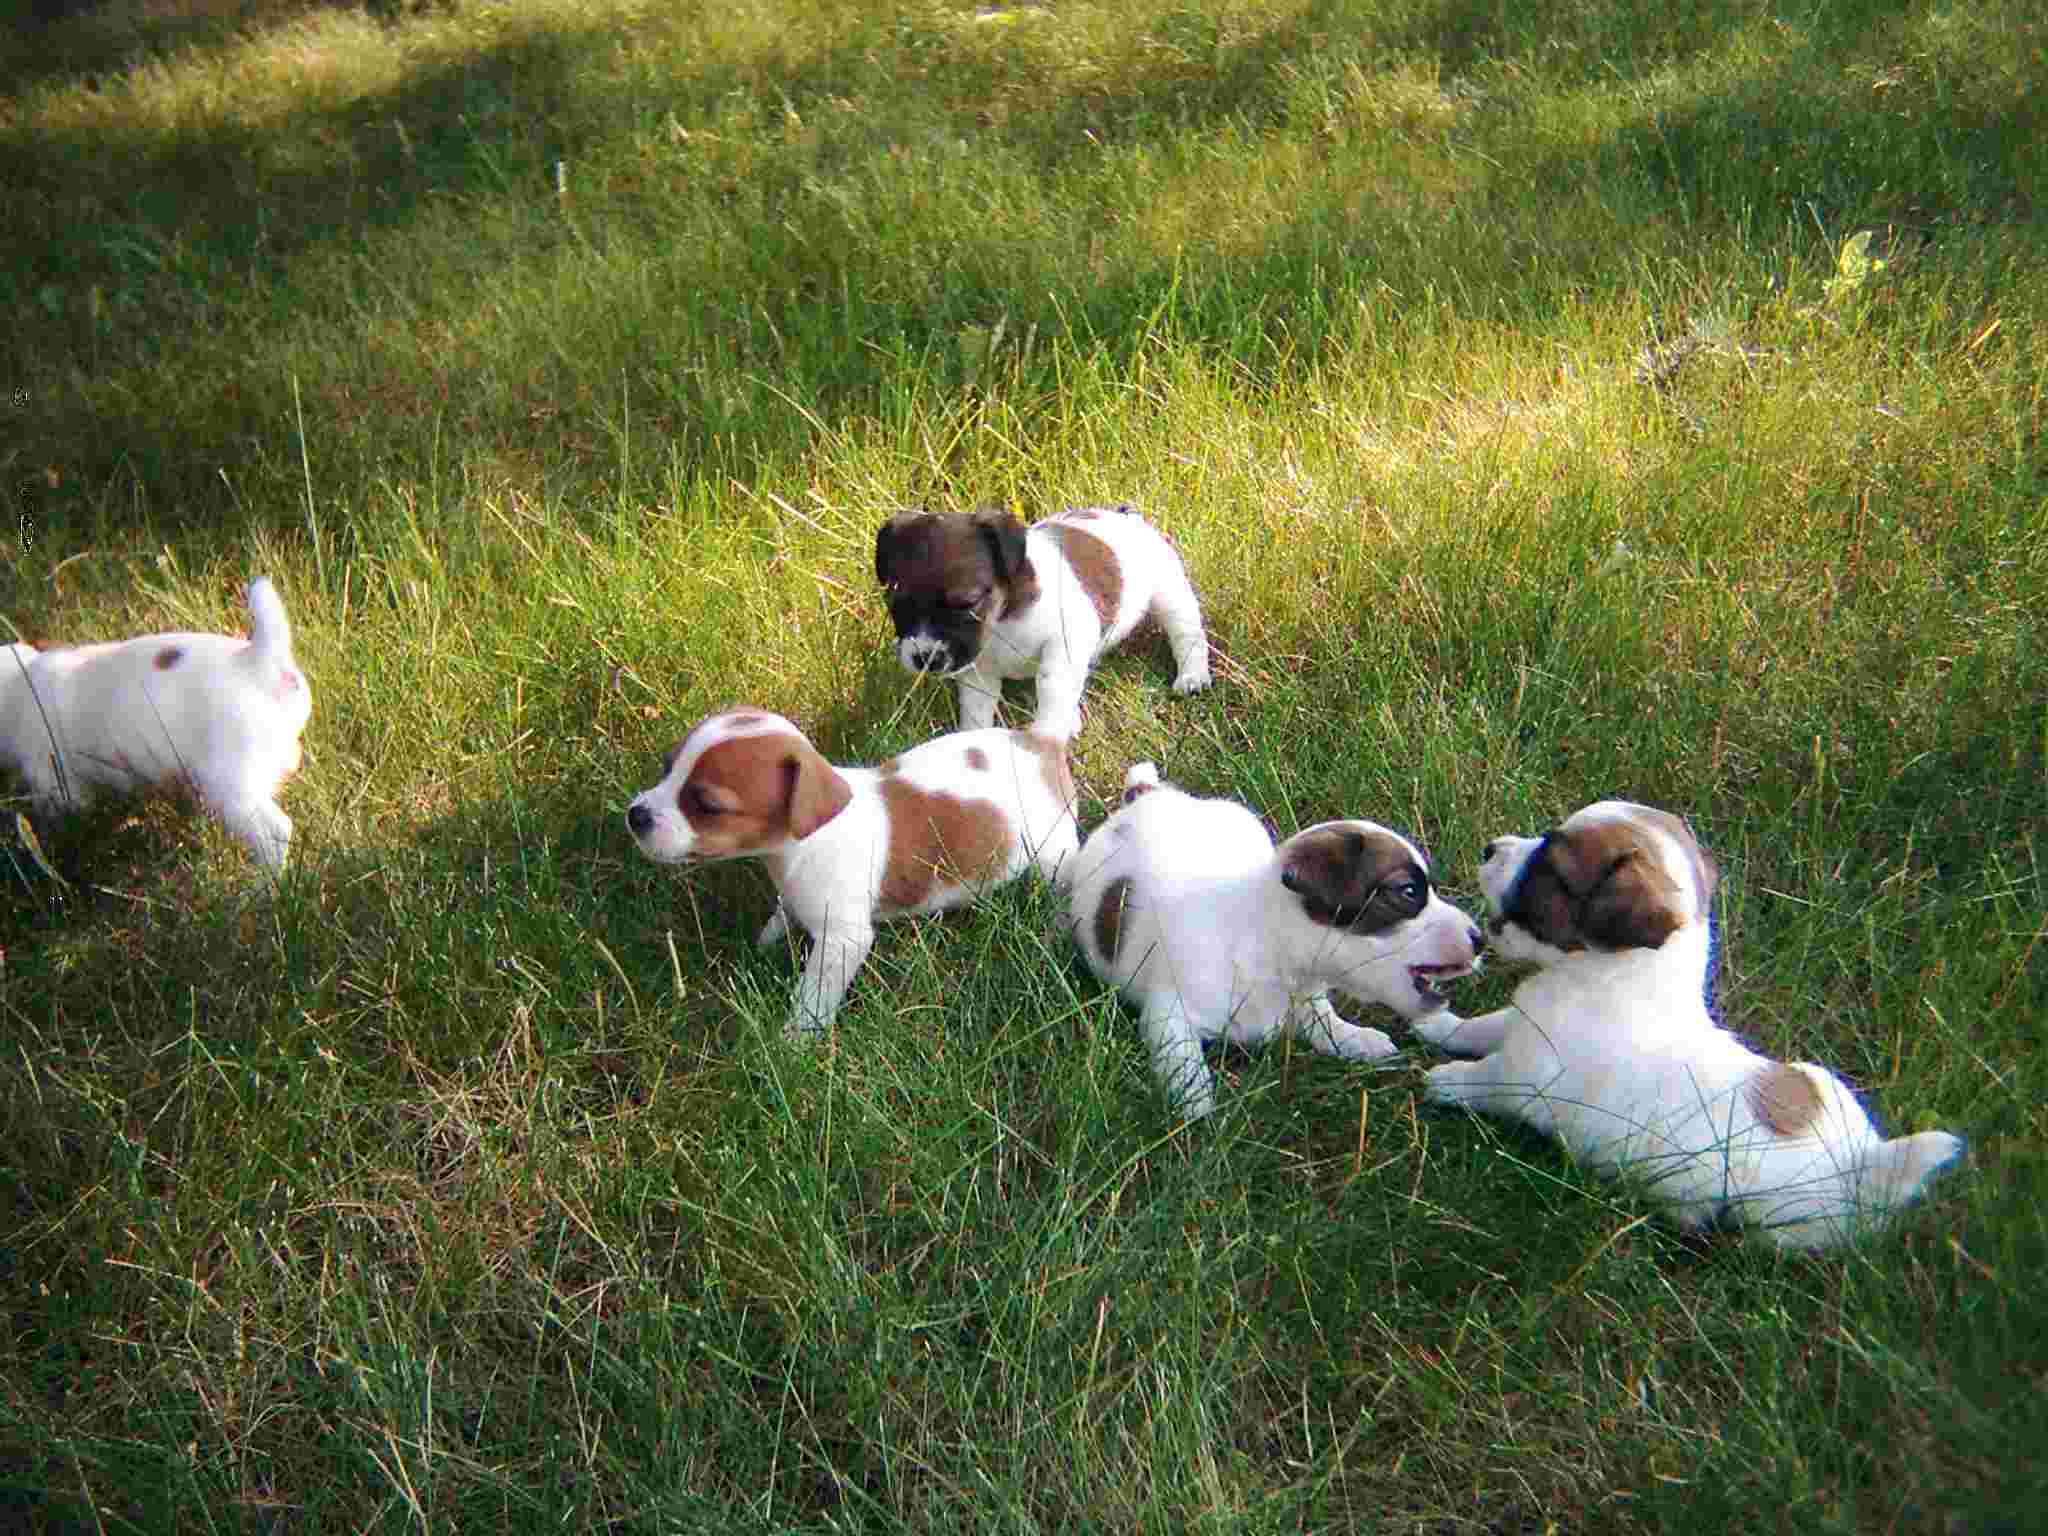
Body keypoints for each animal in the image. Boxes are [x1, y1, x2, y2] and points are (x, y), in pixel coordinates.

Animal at [622, 708, 1081, 1048]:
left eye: (707, 805)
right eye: (667, 767)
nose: (635, 815)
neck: (802, 844)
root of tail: (1041, 741)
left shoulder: (842, 941)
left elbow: (813, 995)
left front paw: (795, 1041)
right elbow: (784, 912)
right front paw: (767, 941)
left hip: (1054, 855)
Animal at [872, 505, 1204, 745]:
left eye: (966, 603)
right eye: (896, 604)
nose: (925, 658)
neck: (1002, 620)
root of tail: (1126, 515)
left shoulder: (1065, 641)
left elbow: (1052, 690)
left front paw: (1045, 737)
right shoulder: (979, 674)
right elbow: (977, 712)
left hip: (1170, 594)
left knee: (1187, 636)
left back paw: (1193, 677)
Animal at [1056, 765, 1490, 1122]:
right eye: (1408, 892)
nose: (1480, 938)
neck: (1265, 944)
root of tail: (1144, 796)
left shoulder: (1306, 994)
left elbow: (1321, 1019)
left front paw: (1350, 1037)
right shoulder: (1170, 1017)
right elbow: (1186, 1066)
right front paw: (1197, 1112)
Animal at [1409, 798, 1966, 1253]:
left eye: (1548, 863)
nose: (1489, 848)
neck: (1619, 979)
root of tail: (1863, 1164)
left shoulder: (1525, 1079)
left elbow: (1486, 1078)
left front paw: (1445, 1081)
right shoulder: (1520, 1025)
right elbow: (1484, 1027)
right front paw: (1439, 1027)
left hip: (1770, 1223)